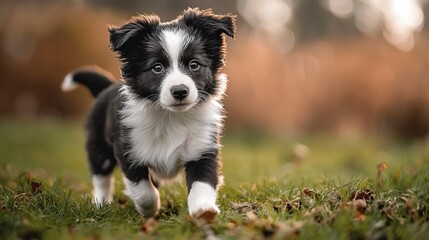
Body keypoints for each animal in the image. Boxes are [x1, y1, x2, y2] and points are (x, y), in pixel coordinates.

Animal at [61, 8, 236, 220]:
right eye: (157, 68)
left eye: (194, 65)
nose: (180, 91)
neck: (171, 116)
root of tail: (107, 87)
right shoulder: (128, 150)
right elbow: (143, 190)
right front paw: (149, 209)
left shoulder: (202, 148)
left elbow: (202, 183)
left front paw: (204, 210)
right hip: (98, 146)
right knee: (101, 177)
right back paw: (101, 204)